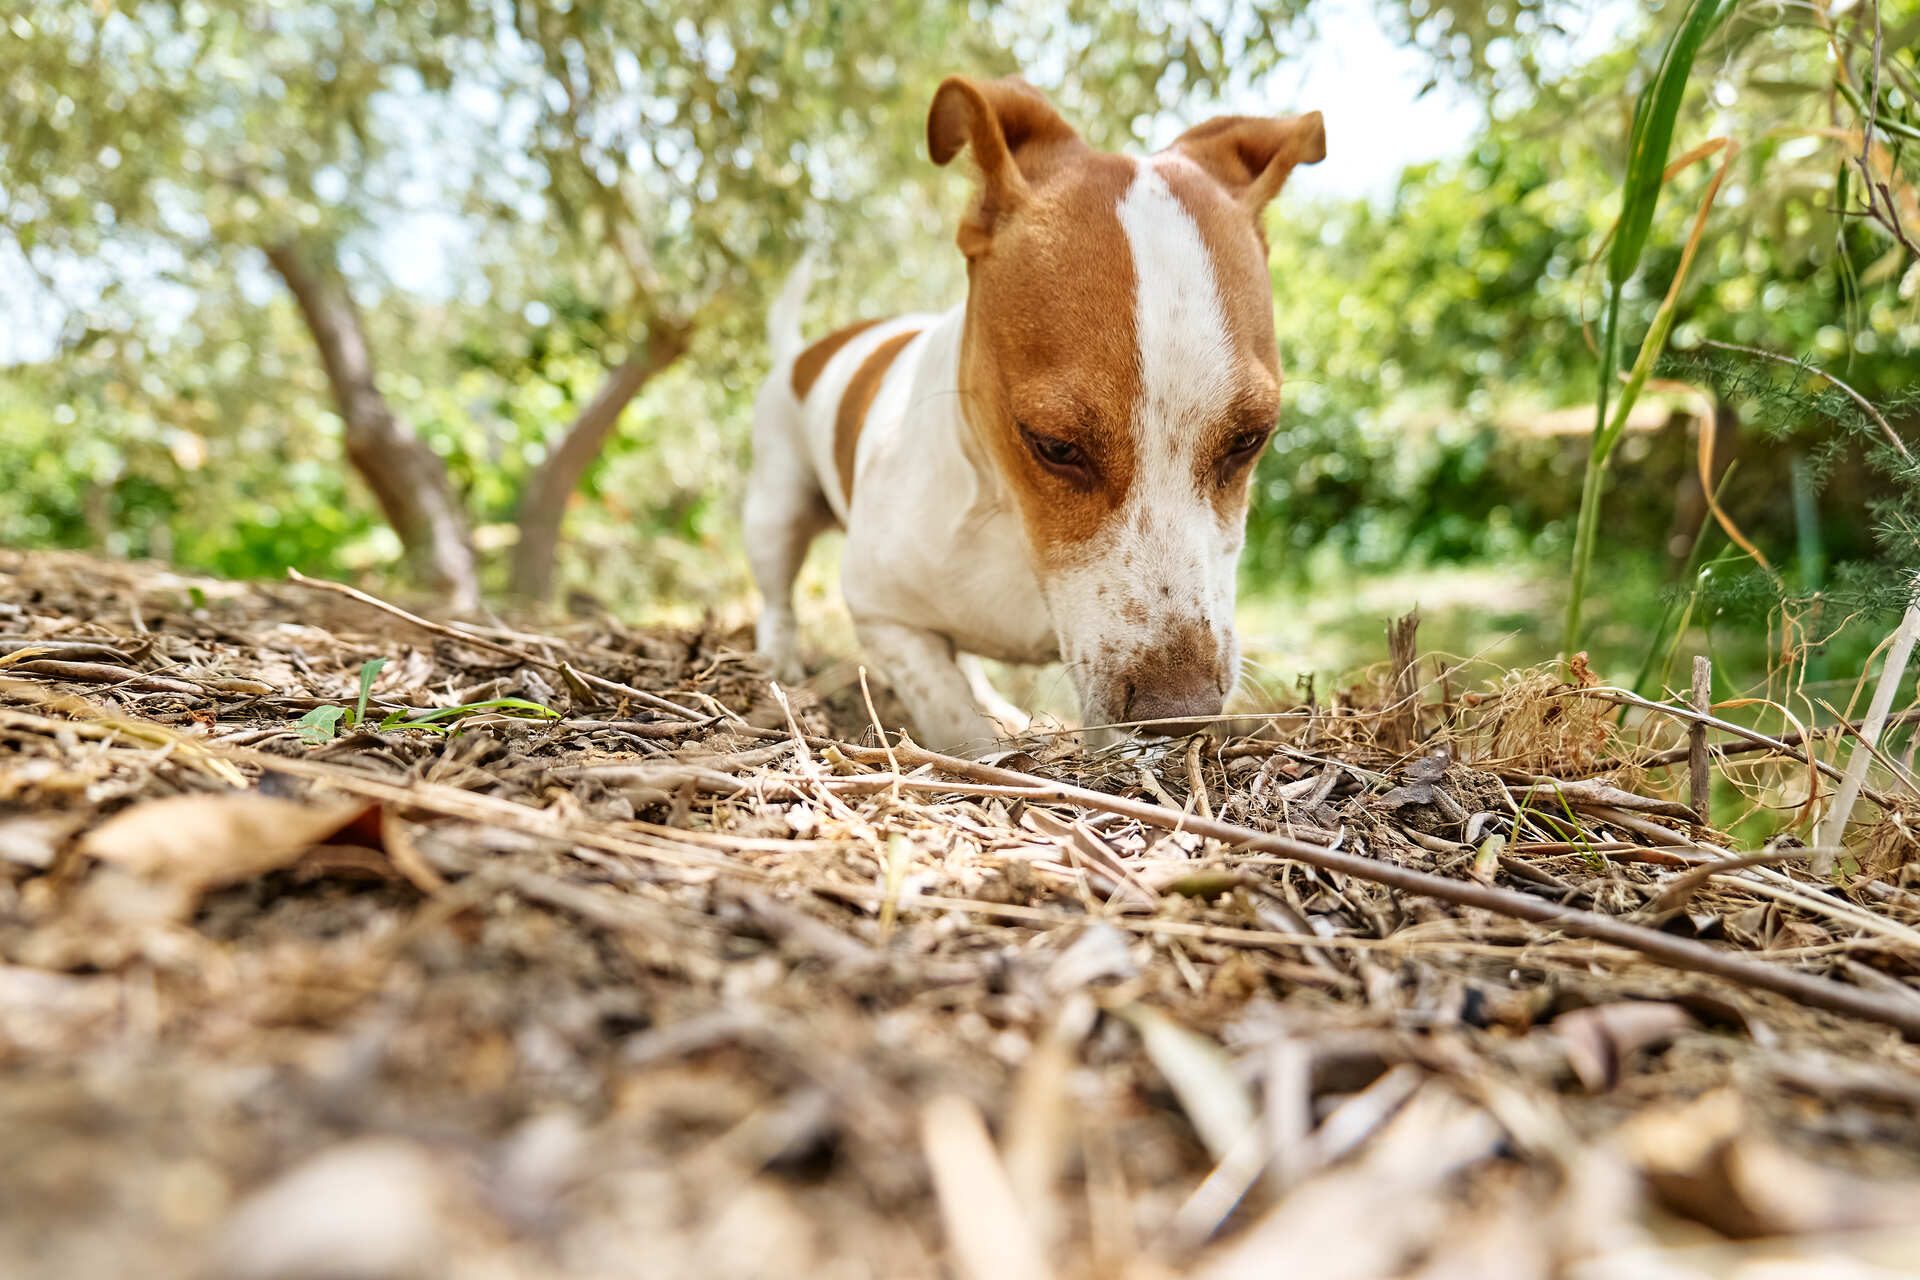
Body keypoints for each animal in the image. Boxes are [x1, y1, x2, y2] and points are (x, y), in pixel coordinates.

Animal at [744, 75, 1320, 756]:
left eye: (1249, 439)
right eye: (1054, 446)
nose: (1179, 714)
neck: (1012, 523)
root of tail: (803, 351)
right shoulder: (883, 613)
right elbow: (953, 716)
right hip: (775, 513)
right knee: (777, 600)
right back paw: (779, 666)